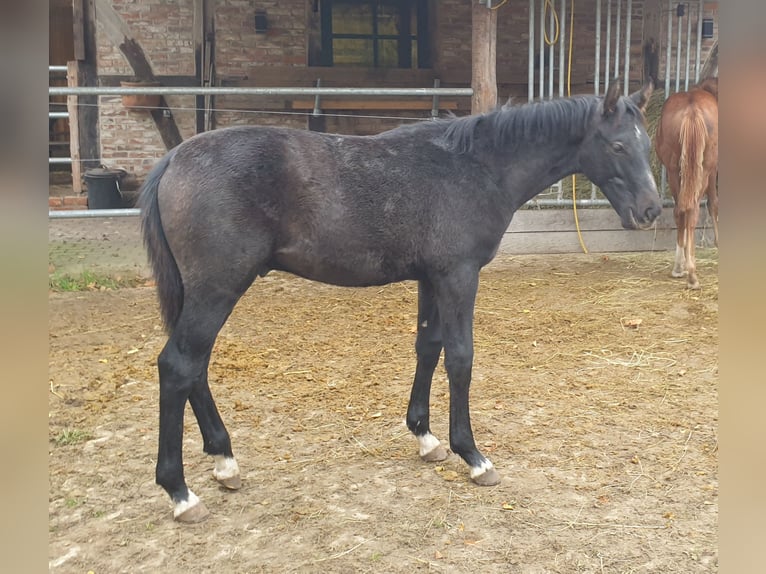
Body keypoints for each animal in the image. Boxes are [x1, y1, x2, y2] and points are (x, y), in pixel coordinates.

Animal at [656, 76, 720, 290]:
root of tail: (692, 111)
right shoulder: (713, 172)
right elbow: (714, 204)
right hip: (703, 170)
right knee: (692, 211)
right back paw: (692, 275)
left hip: (674, 171)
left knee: (680, 212)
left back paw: (678, 267)